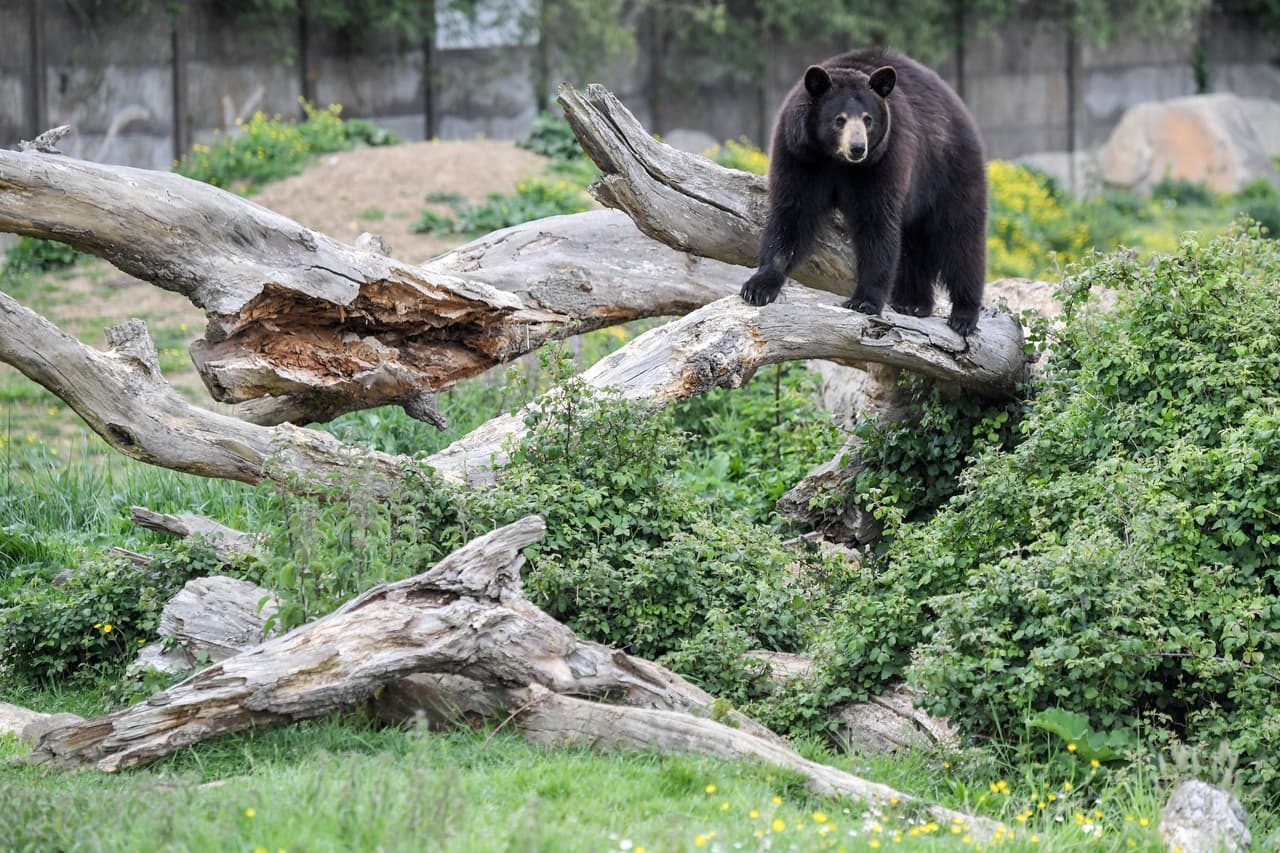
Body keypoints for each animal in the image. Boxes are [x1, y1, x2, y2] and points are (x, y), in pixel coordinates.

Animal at [740, 48, 987, 336]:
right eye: (839, 120)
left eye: (868, 119)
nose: (858, 148)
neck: (835, 161)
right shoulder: (798, 155)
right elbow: (792, 215)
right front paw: (758, 287)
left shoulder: (883, 161)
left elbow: (876, 224)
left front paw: (864, 301)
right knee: (914, 243)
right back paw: (912, 302)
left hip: (949, 168)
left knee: (960, 237)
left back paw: (963, 313)